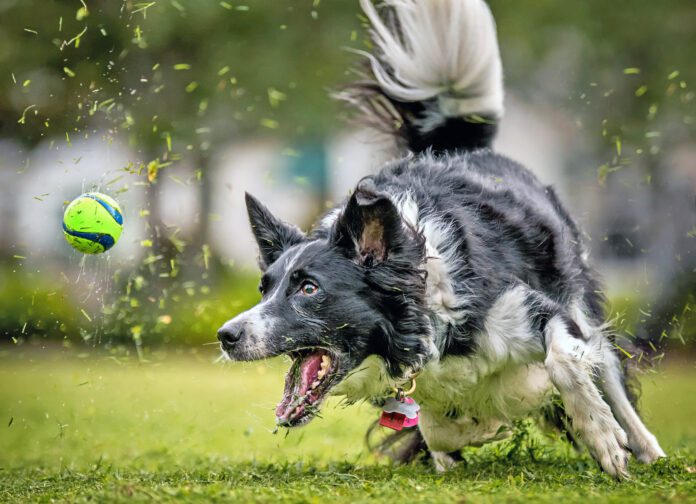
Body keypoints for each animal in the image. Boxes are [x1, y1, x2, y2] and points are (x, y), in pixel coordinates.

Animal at [218, 0, 664, 476]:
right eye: (263, 288)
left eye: (308, 288)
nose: (226, 335)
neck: (422, 306)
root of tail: (461, 147)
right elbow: (438, 428)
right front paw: (474, 429)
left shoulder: (535, 310)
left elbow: (561, 362)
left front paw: (601, 436)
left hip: (579, 299)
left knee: (610, 372)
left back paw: (646, 448)